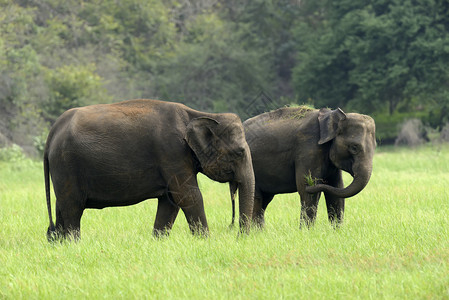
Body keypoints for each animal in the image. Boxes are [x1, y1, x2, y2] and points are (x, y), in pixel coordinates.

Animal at [45, 99, 256, 240]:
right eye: (239, 152)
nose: (238, 236)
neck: (197, 114)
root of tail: (53, 131)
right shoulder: (172, 151)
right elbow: (188, 196)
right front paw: (205, 241)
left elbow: (170, 201)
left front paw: (158, 241)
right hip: (66, 164)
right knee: (73, 207)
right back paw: (74, 243)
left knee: (61, 206)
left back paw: (60, 244)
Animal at [231, 106, 374, 226]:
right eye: (354, 147)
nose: (313, 184)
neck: (331, 115)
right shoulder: (308, 148)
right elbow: (305, 190)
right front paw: (307, 231)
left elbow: (336, 188)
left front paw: (337, 231)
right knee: (257, 198)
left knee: (264, 200)